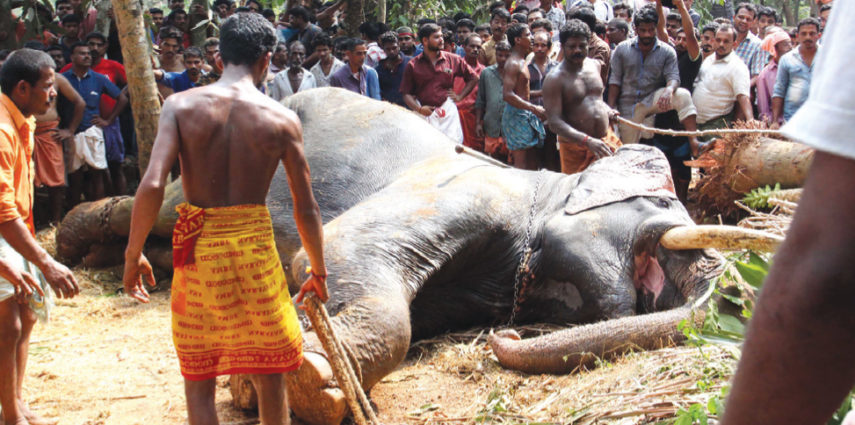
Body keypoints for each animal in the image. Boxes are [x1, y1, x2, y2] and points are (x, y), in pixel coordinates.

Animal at [56, 88, 772, 424]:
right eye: (671, 211)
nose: (507, 337)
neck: (541, 191)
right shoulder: (462, 187)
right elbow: (336, 253)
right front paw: (303, 381)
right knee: (165, 205)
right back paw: (76, 251)